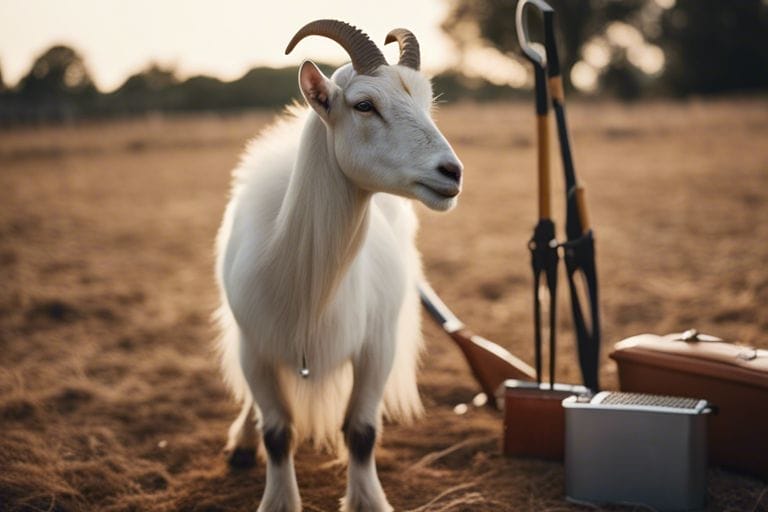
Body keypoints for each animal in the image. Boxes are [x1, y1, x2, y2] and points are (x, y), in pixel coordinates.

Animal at [214, 19, 463, 512]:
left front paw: (368, 500)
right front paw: (278, 499)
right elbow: (277, 432)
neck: (310, 280)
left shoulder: (377, 345)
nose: (452, 172)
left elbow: (362, 432)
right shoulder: (255, 345)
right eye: (364, 104)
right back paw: (240, 444)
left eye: (427, 103)